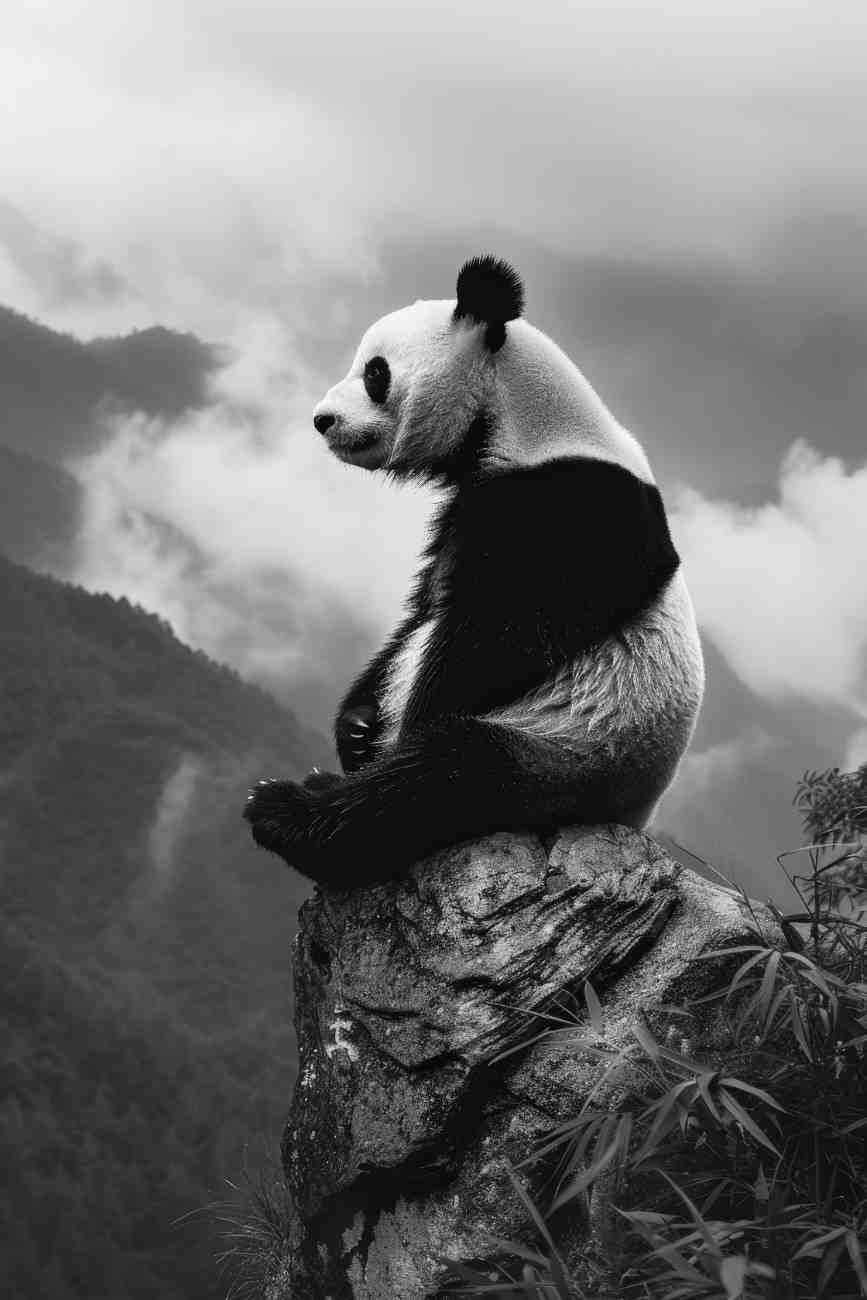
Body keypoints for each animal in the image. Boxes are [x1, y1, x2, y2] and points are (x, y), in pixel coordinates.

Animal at [243, 256, 705, 887]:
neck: (524, 420)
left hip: (567, 753)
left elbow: (494, 635)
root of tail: (632, 817)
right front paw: (358, 726)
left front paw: (389, 730)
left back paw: (290, 810)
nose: (322, 420)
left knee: (437, 779)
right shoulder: (468, 507)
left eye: (375, 373)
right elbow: (424, 608)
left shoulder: (575, 508)